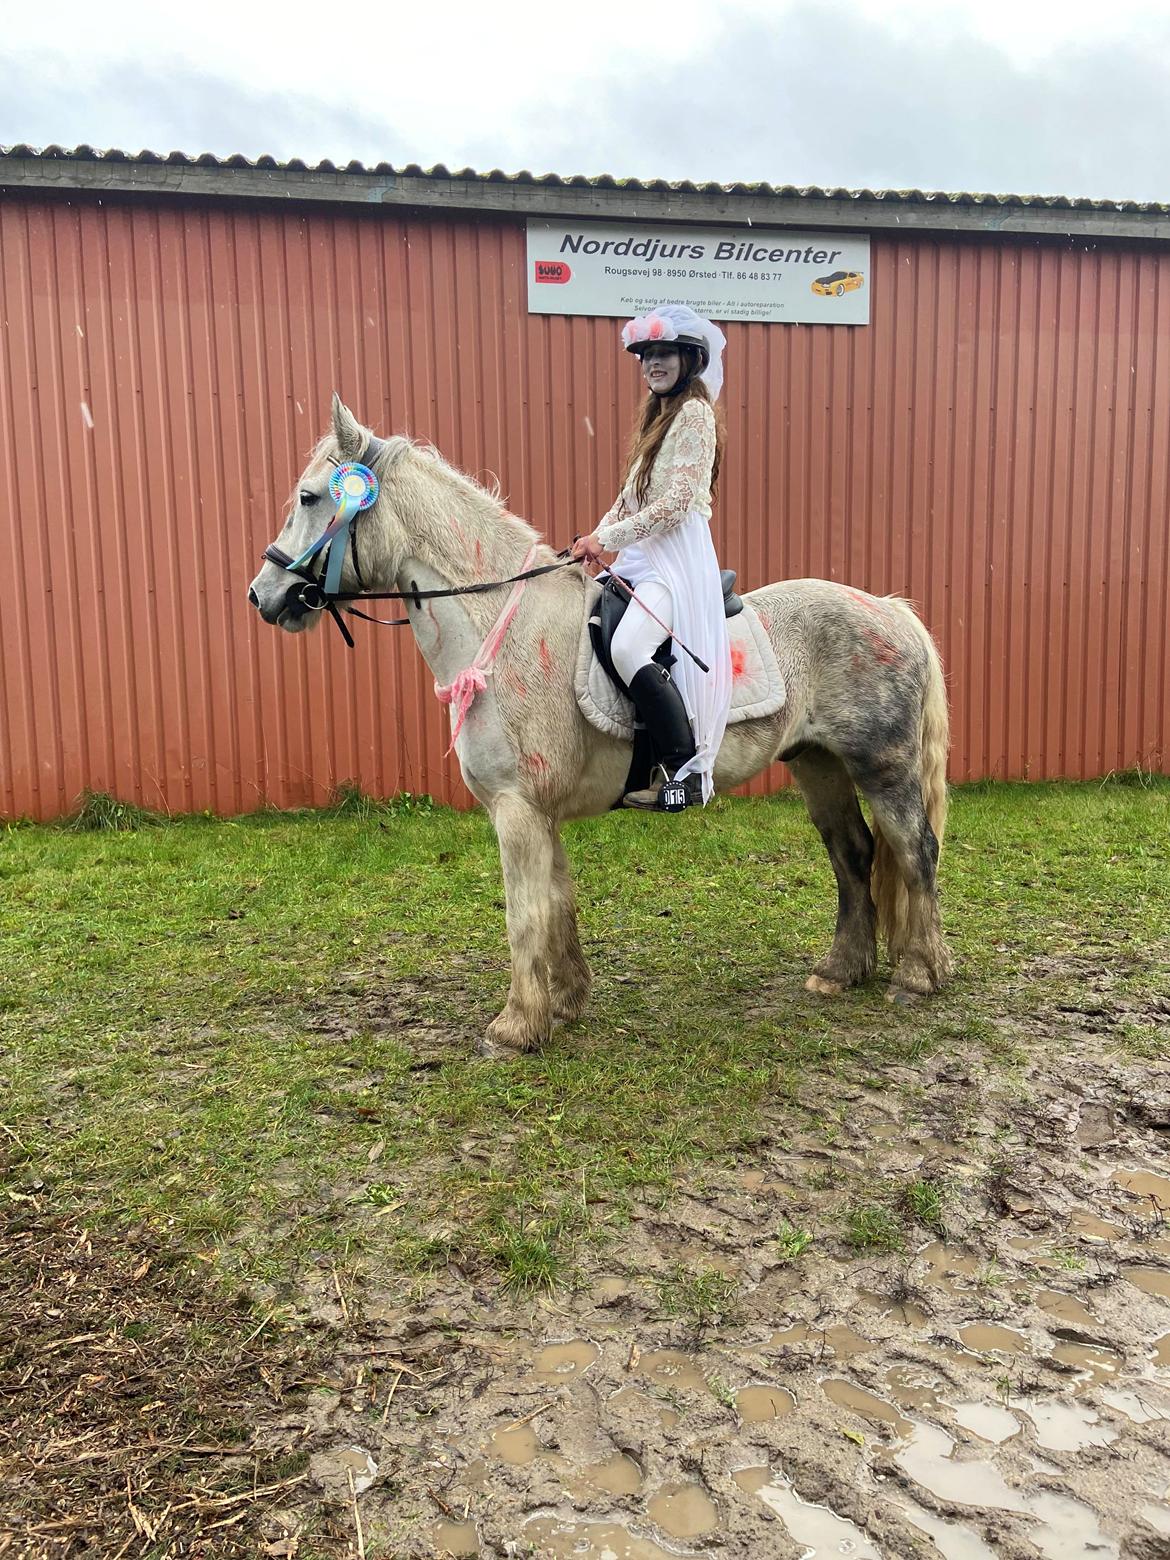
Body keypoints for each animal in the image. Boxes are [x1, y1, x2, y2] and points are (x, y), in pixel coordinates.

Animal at [248, 399, 954, 1060]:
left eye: (310, 497)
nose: (263, 595)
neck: (503, 628)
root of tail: (889, 610)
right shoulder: (540, 812)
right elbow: (558, 904)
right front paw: (565, 1003)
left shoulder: (517, 809)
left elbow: (525, 913)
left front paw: (515, 1028)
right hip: (818, 763)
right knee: (853, 855)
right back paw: (840, 972)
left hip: (883, 769)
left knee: (914, 850)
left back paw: (919, 976)